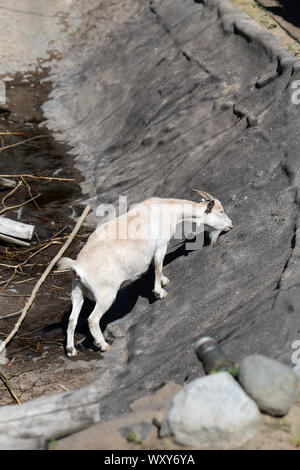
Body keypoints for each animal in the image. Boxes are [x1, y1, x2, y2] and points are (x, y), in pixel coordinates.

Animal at [58, 191, 232, 356]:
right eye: (221, 211)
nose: (231, 224)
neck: (168, 209)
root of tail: (77, 266)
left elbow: (155, 266)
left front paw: (164, 281)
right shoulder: (161, 245)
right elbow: (158, 266)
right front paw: (160, 292)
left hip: (77, 291)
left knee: (72, 319)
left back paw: (71, 350)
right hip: (105, 294)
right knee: (92, 319)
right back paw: (104, 345)